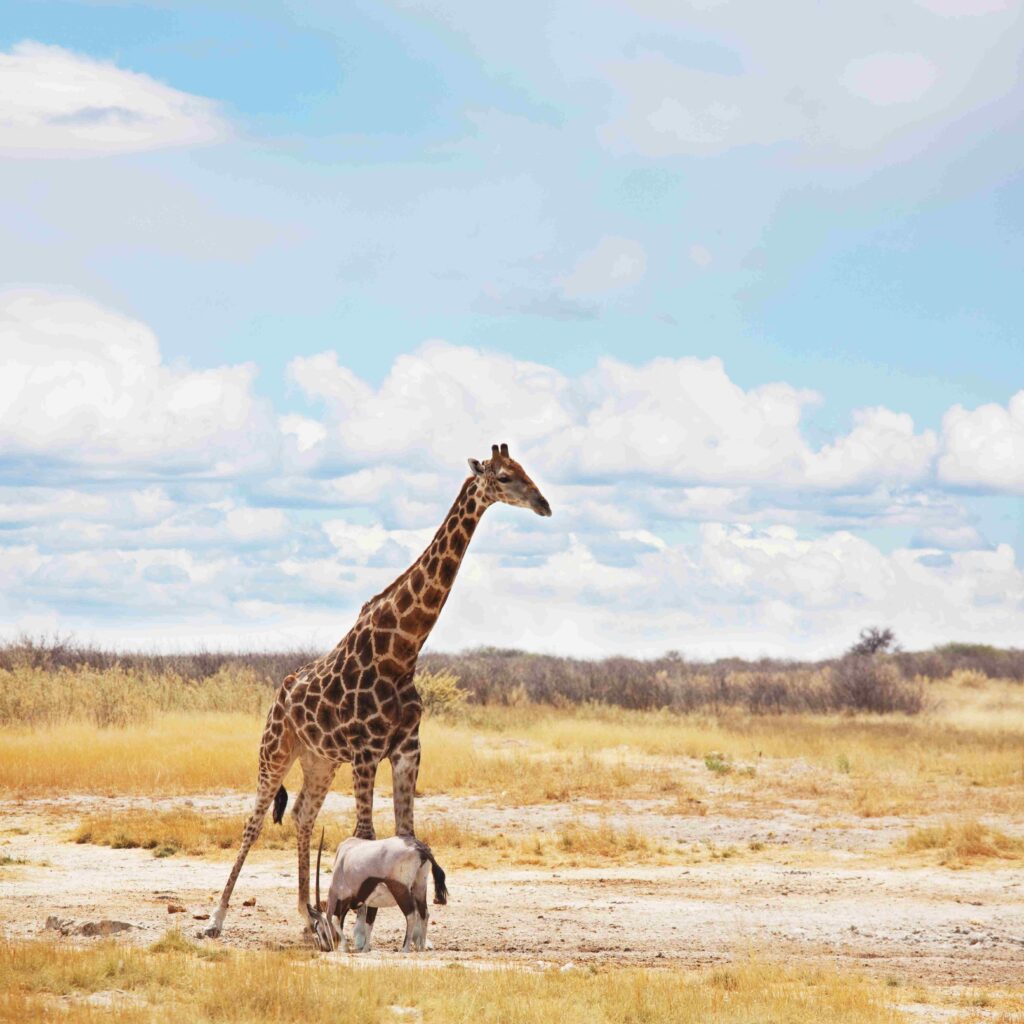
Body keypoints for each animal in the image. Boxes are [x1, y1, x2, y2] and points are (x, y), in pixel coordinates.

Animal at [305, 831, 446, 950]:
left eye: (318, 928)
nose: (326, 948)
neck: (341, 860)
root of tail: (419, 847)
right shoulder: (372, 902)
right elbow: (369, 924)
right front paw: (365, 949)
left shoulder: (344, 898)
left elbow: (336, 920)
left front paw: (346, 947)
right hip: (420, 887)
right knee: (424, 914)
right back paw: (421, 947)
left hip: (400, 890)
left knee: (411, 915)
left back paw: (405, 948)